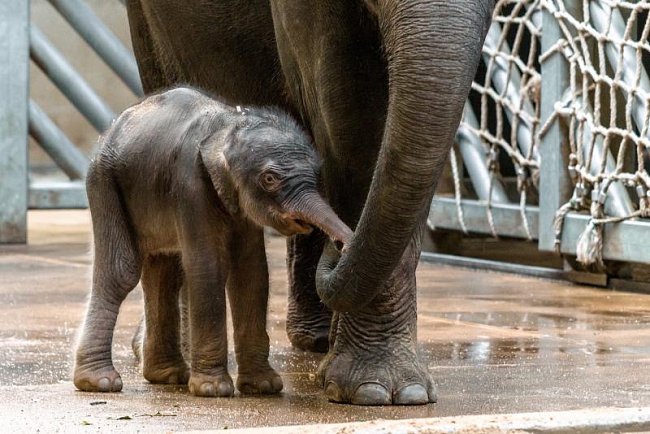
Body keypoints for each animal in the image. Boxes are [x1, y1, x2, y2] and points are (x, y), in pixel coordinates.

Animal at [73, 87, 352, 396]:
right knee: (120, 272)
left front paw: (263, 386)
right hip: (104, 183)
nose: (340, 244)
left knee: (164, 274)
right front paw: (213, 389)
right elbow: (208, 268)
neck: (229, 126)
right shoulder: (191, 186)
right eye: (269, 179)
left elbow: (252, 272)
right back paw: (100, 382)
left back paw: (168, 376)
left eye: (316, 174)